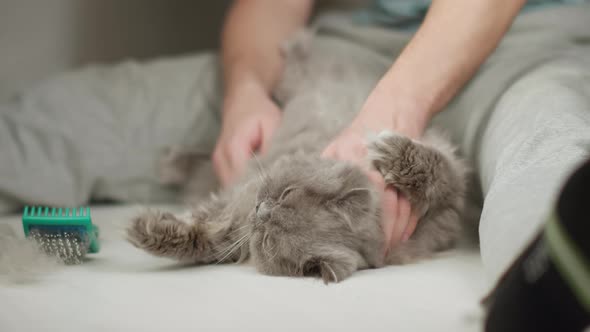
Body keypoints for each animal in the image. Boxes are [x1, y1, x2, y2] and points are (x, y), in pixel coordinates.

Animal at [127, 29, 470, 282]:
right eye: (287, 192)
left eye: (267, 239)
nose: (261, 211)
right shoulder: (246, 190)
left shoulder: (448, 213)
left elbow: (214, 239)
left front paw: (148, 231)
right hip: (293, 83)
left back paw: (170, 165)